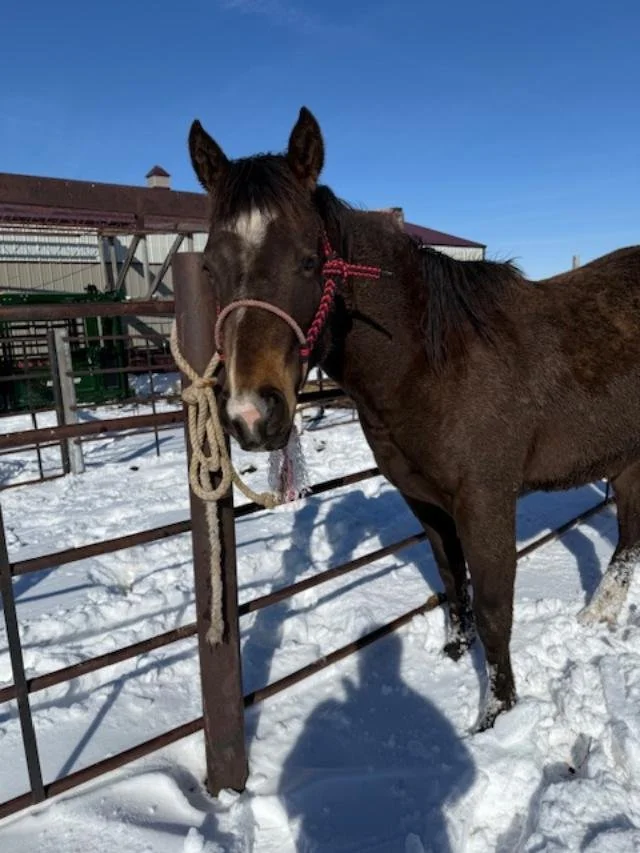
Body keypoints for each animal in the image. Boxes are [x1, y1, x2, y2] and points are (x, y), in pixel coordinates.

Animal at [187, 106, 640, 730]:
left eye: (309, 260)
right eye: (209, 266)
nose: (252, 413)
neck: (432, 364)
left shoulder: (485, 502)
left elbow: (495, 607)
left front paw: (495, 713)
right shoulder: (425, 500)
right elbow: (452, 581)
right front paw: (453, 653)